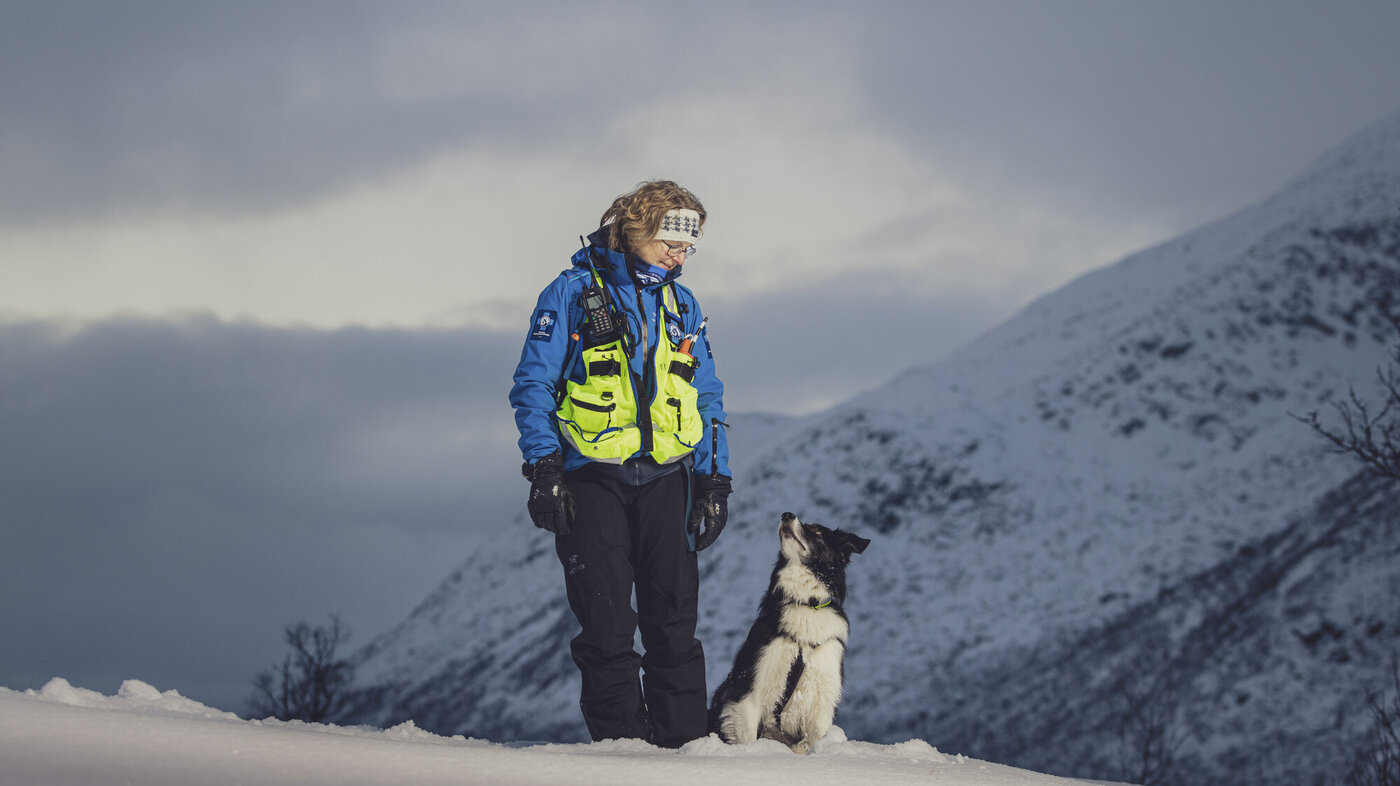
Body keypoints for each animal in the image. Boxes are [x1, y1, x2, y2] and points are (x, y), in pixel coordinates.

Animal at [716, 512, 868, 750]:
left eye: (817, 531)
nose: (786, 514)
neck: (807, 603)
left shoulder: (821, 702)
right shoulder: (747, 692)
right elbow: (748, 738)